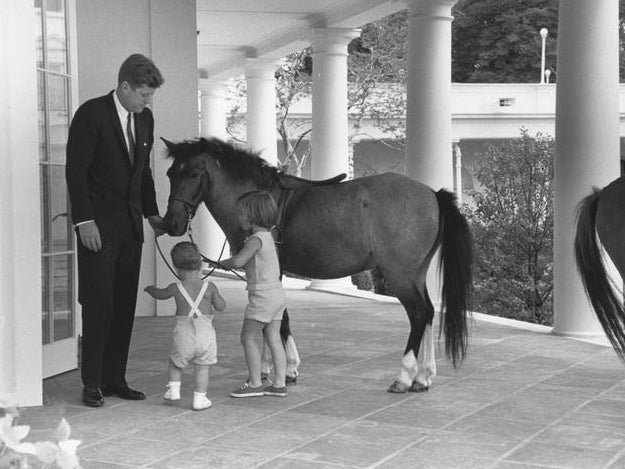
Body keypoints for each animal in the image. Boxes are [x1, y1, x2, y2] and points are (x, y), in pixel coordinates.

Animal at [158, 137, 470, 394]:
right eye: (171, 174)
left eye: (193, 173)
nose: (172, 223)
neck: (257, 198)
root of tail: (433, 195)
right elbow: (273, 318)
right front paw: (276, 368)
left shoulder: (265, 272)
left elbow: (275, 319)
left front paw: (280, 370)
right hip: (416, 274)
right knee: (428, 312)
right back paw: (423, 377)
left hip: (401, 275)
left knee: (418, 314)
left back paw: (404, 377)